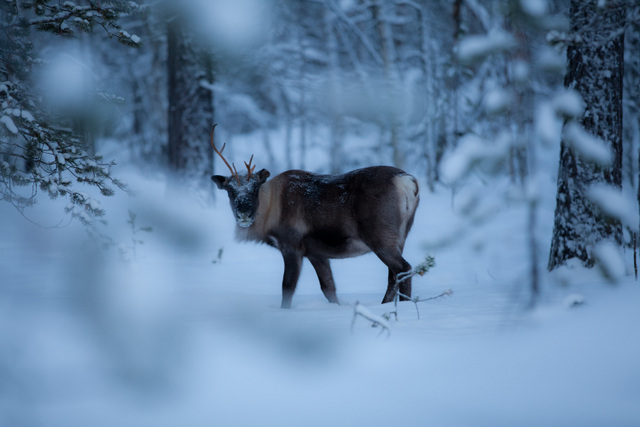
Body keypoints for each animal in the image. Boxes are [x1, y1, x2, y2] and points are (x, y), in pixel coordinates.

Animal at [209, 125, 419, 309]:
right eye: (229, 190)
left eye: (255, 188)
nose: (243, 214)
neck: (270, 213)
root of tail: (407, 182)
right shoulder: (316, 252)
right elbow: (329, 288)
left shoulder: (292, 245)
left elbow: (287, 287)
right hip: (401, 237)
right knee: (393, 276)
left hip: (380, 237)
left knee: (404, 269)